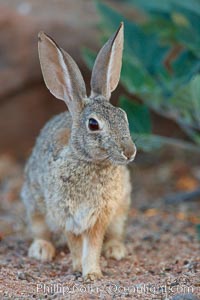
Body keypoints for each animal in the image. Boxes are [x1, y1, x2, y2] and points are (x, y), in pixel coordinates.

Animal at [21, 21, 137, 282]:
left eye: (123, 116)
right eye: (93, 124)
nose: (130, 152)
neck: (88, 161)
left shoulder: (101, 215)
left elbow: (93, 245)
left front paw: (92, 273)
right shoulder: (66, 215)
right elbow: (75, 244)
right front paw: (77, 268)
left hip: (121, 209)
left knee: (116, 233)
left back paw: (116, 249)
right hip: (34, 205)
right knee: (40, 230)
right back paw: (41, 250)